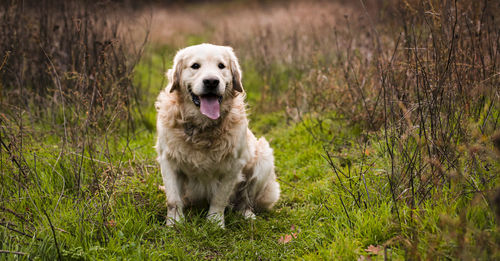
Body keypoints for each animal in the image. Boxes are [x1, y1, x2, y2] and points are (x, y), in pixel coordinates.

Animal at [155, 42, 282, 225]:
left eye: (221, 66)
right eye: (195, 66)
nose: (211, 81)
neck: (203, 126)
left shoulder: (234, 164)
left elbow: (219, 198)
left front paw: (215, 223)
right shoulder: (168, 160)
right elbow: (173, 200)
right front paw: (174, 223)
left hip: (264, 158)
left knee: (245, 198)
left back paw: (247, 214)